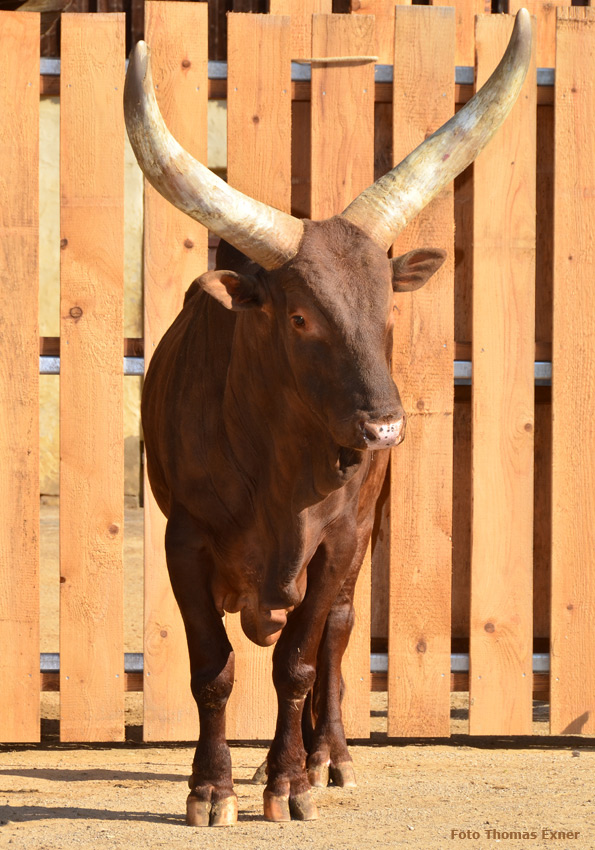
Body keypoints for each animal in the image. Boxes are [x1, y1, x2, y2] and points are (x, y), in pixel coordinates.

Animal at [123, 9, 532, 824]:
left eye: (386, 311)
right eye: (300, 317)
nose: (383, 429)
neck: (279, 477)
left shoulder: (336, 542)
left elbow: (300, 663)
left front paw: (287, 782)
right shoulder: (183, 540)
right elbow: (213, 669)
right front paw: (212, 787)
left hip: (363, 537)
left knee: (336, 637)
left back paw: (326, 757)